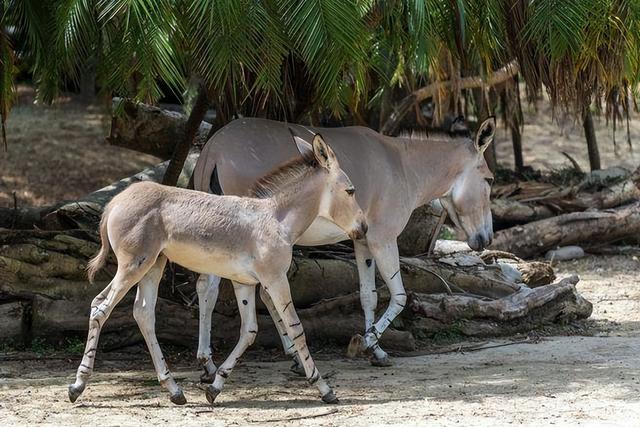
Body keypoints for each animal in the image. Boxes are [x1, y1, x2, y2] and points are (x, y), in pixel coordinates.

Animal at [67, 132, 368, 406]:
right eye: (351, 190)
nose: (364, 228)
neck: (276, 220)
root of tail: (115, 201)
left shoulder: (244, 282)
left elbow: (249, 331)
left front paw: (215, 386)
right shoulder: (275, 279)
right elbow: (296, 329)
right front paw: (324, 388)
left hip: (152, 265)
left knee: (141, 313)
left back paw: (174, 390)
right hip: (133, 266)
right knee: (101, 308)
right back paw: (78, 386)